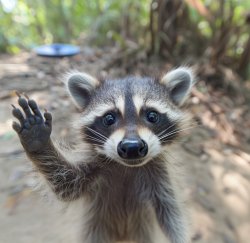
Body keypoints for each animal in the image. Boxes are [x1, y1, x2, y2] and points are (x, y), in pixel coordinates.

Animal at [11, 67, 194, 243]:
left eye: (152, 115)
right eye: (109, 118)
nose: (132, 147)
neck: (127, 167)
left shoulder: (161, 176)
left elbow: (171, 216)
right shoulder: (94, 164)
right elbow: (65, 185)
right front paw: (38, 141)